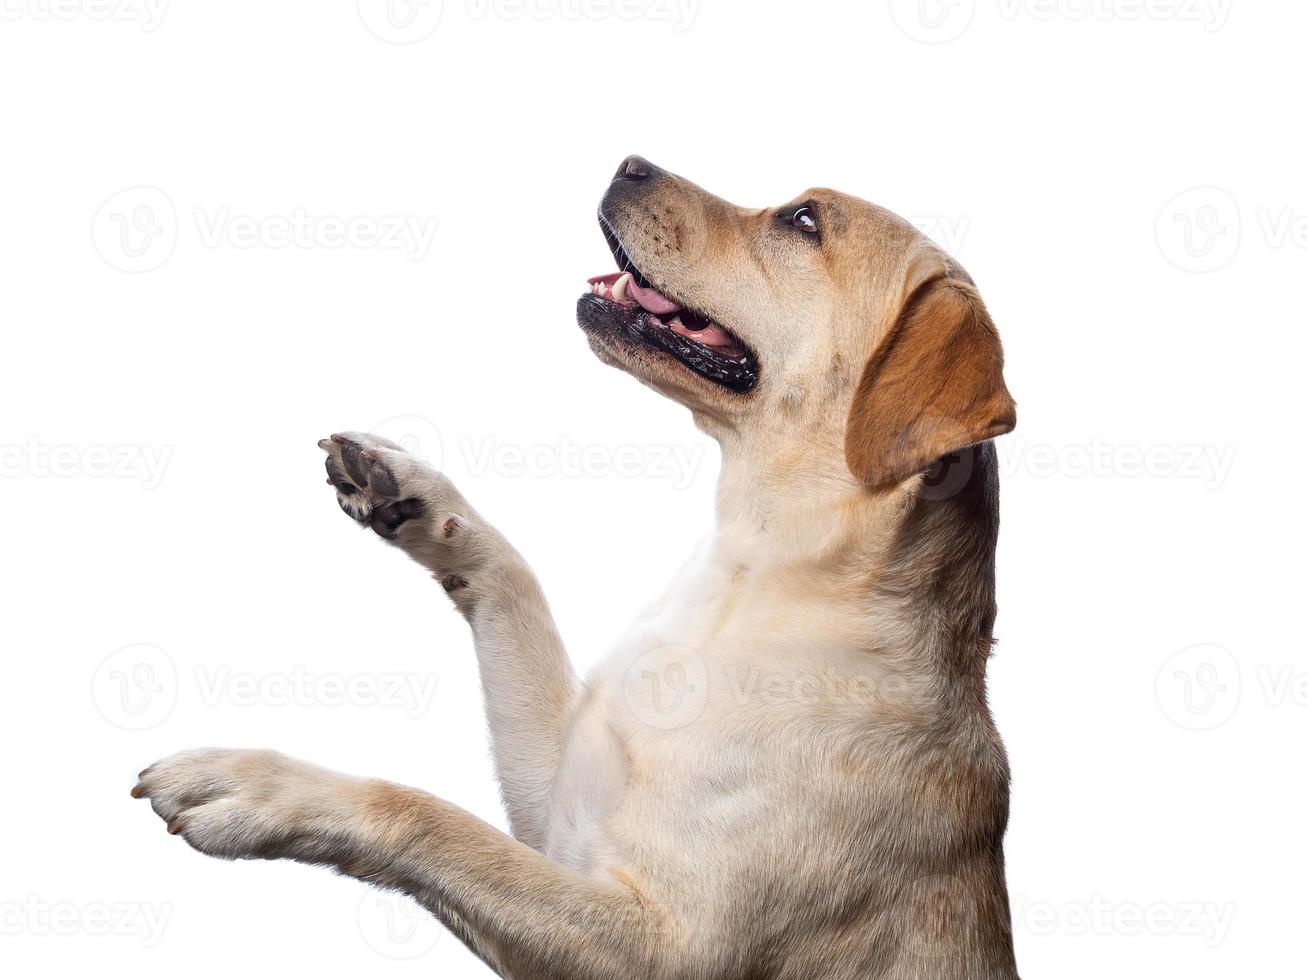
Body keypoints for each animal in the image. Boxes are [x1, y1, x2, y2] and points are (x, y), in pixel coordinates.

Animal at [132, 157, 1019, 977]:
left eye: (804, 220)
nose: (629, 162)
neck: (747, 574)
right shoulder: (555, 808)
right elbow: (515, 585)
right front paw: (411, 495)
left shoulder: (662, 947)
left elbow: (426, 814)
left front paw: (252, 787)